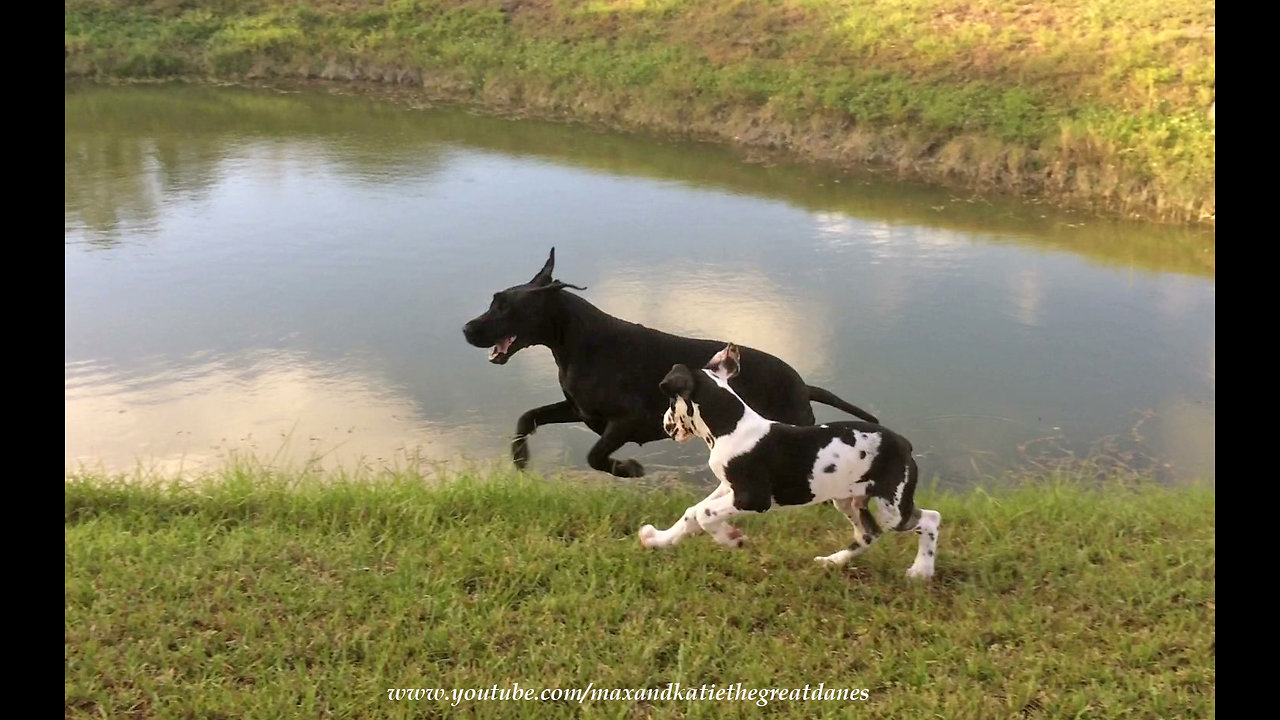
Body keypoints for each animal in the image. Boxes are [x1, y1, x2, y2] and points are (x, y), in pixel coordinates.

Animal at [637, 340, 942, 576]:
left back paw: (921, 571)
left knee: (930, 519)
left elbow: (704, 513)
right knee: (868, 535)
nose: (664, 424)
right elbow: (692, 512)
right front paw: (658, 539)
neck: (731, 427)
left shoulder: (752, 497)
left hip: (892, 508)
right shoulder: (728, 486)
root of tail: (904, 443)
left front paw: (732, 539)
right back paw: (832, 562)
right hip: (848, 500)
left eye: (670, 402)